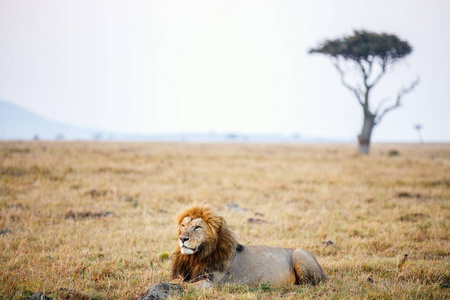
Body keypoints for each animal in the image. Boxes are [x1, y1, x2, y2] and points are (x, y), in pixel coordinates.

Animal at [171, 205, 326, 288]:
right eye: (183, 225)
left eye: (197, 227)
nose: (182, 238)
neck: (194, 258)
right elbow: (176, 280)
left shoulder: (211, 282)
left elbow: (184, 285)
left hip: (299, 253)